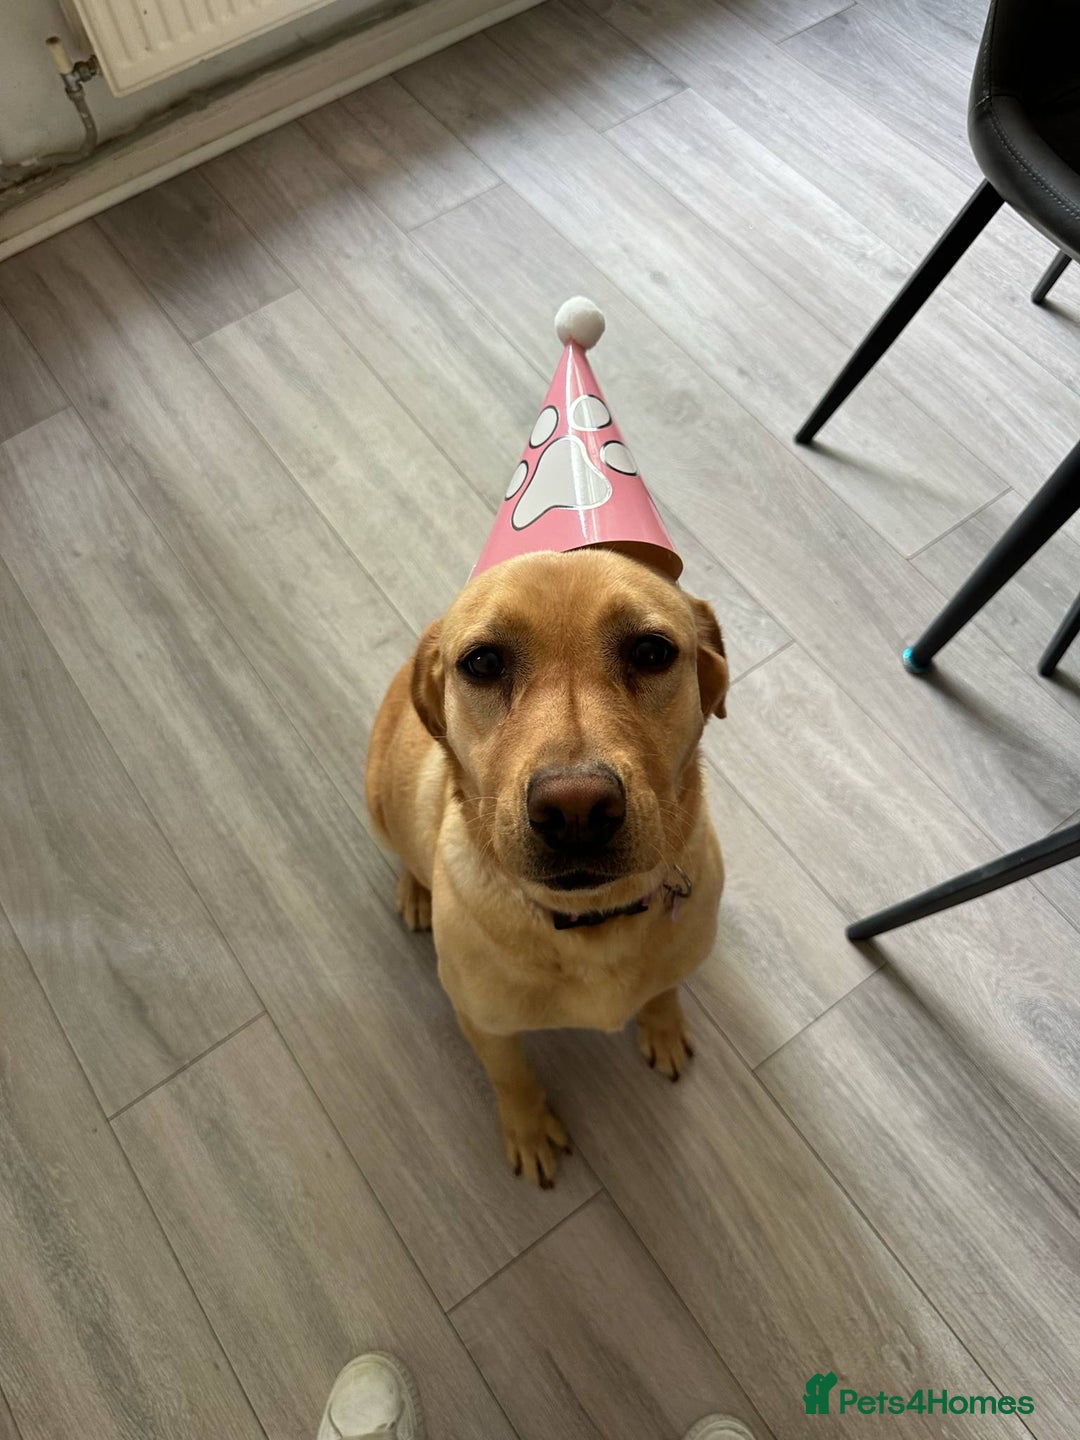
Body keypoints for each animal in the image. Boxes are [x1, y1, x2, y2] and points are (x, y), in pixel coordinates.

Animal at [365, 546, 728, 1187]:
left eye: (651, 652)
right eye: (483, 662)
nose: (576, 809)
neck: (590, 920)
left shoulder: (679, 959)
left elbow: (663, 993)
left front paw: (663, 1028)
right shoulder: (484, 1023)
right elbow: (512, 1079)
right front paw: (529, 1131)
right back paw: (415, 892)